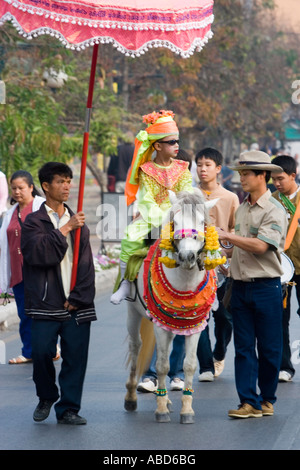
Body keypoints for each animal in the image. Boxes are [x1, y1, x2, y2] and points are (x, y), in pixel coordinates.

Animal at [123, 189, 219, 424]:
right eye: (175, 222)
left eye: (202, 222)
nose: (187, 256)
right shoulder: (159, 325)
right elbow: (162, 364)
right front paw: (160, 411)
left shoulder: (195, 327)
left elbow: (189, 364)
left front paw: (186, 410)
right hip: (133, 313)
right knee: (136, 346)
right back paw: (132, 397)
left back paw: (165, 398)